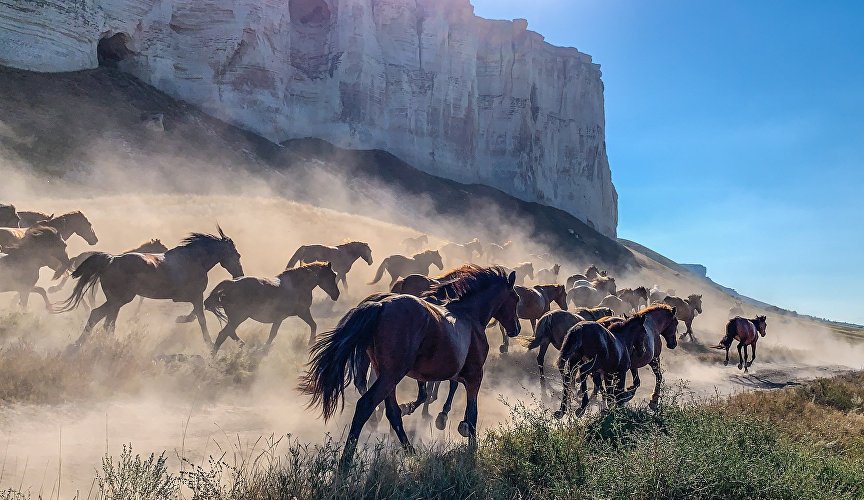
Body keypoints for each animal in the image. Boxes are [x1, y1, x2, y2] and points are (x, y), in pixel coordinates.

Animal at [57, 228, 245, 348]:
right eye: (236, 254)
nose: (239, 274)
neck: (194, 259)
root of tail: (111, 260)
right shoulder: (194, 295)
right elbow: (200, 317)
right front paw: (208, 342)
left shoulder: (192, 296)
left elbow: (198, 313)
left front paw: (182, 319)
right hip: (120, 299)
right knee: (98, 316)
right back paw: (82, 344)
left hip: (116, 301)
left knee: (106, 321)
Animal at [208, 260, 342, 354]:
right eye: (332, 276)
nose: (336, 295)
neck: (297, 285)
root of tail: (231, 284)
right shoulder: (302, 312)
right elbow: (313, 325)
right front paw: (311, 343)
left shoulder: (281, 318)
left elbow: (273, 334)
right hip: (238, 317)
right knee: (223, 335)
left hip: (235, 318)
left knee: (229, 333)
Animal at [300, 266, 520, 472]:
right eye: (516, 299)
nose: (516, 329)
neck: (469, 314)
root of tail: (380, 305)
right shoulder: (475, 375)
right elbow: (472, 412)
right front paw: (471, 448)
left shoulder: (444, 374)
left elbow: (434, 393)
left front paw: (447, 421)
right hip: (392, 374)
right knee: (366, 405)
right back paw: (345, 464)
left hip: (385, 373)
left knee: (392, 411)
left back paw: (410, 452)